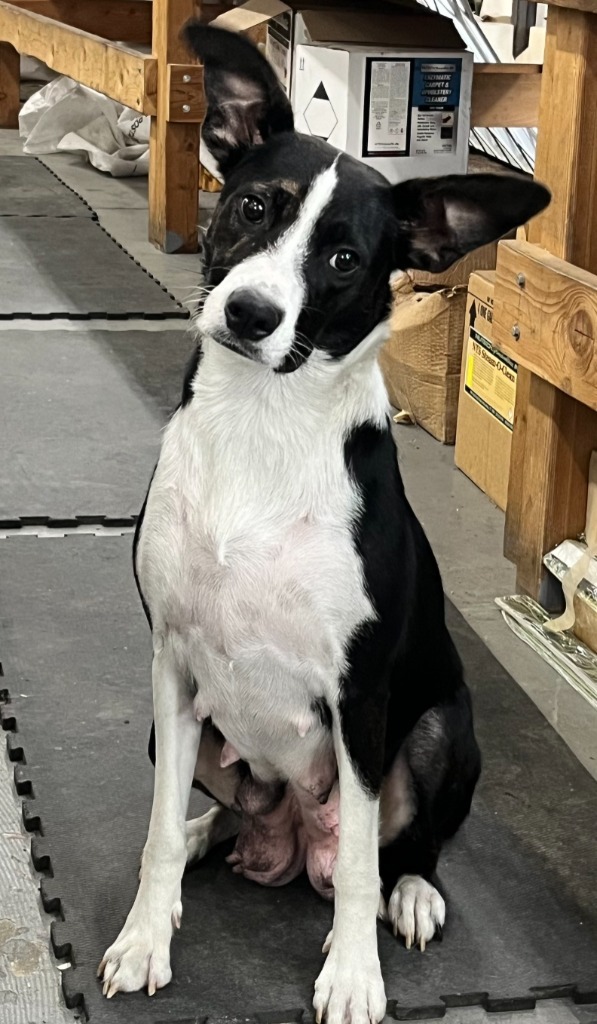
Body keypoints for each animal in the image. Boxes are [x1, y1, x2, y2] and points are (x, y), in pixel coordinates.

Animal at [99, 25, 552, 1024]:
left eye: (344, 260)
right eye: (250, 205)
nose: (249, 313)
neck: (260, 427)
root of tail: (285, 841)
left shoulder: (360, 697)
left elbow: (352, 874)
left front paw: (351, 976)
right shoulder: (171, 664)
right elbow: (154, 830)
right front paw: (146, 936)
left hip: (439, 729)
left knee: (392, 850)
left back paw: (409, 893)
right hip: (182, 734)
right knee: (217, 817)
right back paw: (210, 838)